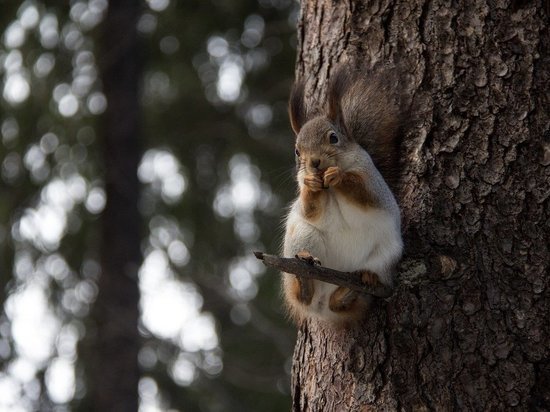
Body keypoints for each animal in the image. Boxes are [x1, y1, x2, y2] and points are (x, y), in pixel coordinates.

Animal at [284, 66, 406, 326]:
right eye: (297, 151)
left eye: (333, 138)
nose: (314, 163)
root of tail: (322, 308)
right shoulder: (305, 195)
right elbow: (310, 210)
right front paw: (311, 184)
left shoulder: (371, 181)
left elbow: (364, 194)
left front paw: (337, 175)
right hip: (303, 236)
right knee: (303, 296)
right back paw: (305, 278)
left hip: (385, 254)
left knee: (344, 299)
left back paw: (355, 287)